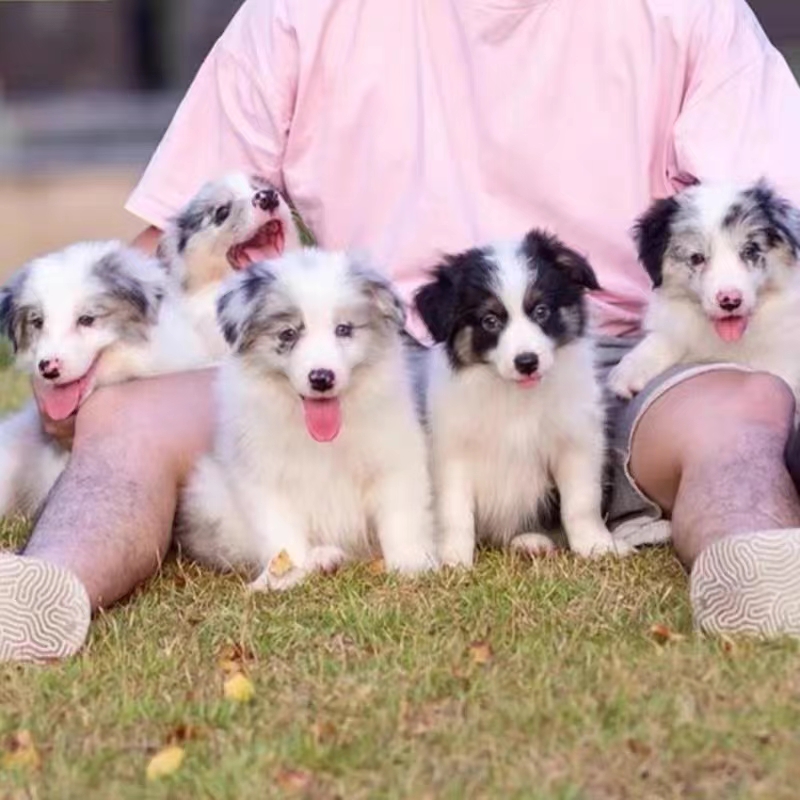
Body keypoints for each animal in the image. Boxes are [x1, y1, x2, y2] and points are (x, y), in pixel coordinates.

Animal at [412, 225, 632, 564]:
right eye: (490, 321)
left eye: (541, 311)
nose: (527, 362)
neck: (515, 397)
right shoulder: (451, 452)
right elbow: (455, 511)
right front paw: (453, 559)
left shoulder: (577, 441)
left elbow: (581, 502)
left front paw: (596, 546)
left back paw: (532, 540)